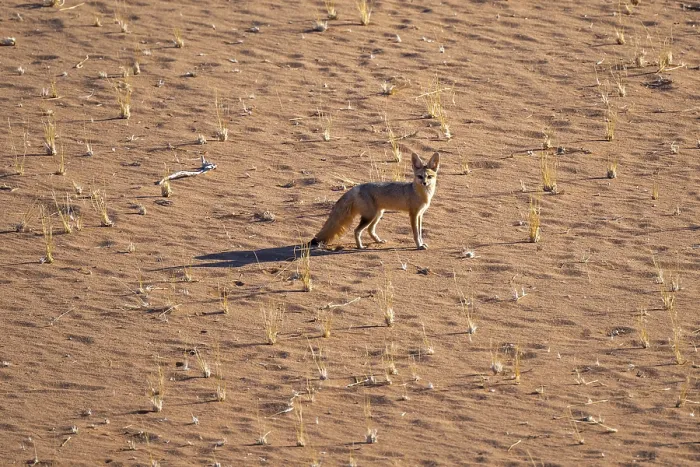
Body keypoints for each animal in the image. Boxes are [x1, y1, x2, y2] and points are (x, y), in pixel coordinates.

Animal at [311, 151, 440, 250]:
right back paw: (360, 247)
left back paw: (378, 241)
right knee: (357, 230)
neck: (422, 195)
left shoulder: (420, 215)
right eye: (420, 176)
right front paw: (418, 246)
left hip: (377, 214)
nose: (425, 183)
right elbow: (416, 233)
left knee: (369, 230)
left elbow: (420, 233)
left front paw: (422, 243)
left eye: (429, 177)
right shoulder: (413, 214)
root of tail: (356, 187)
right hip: (370, 216)